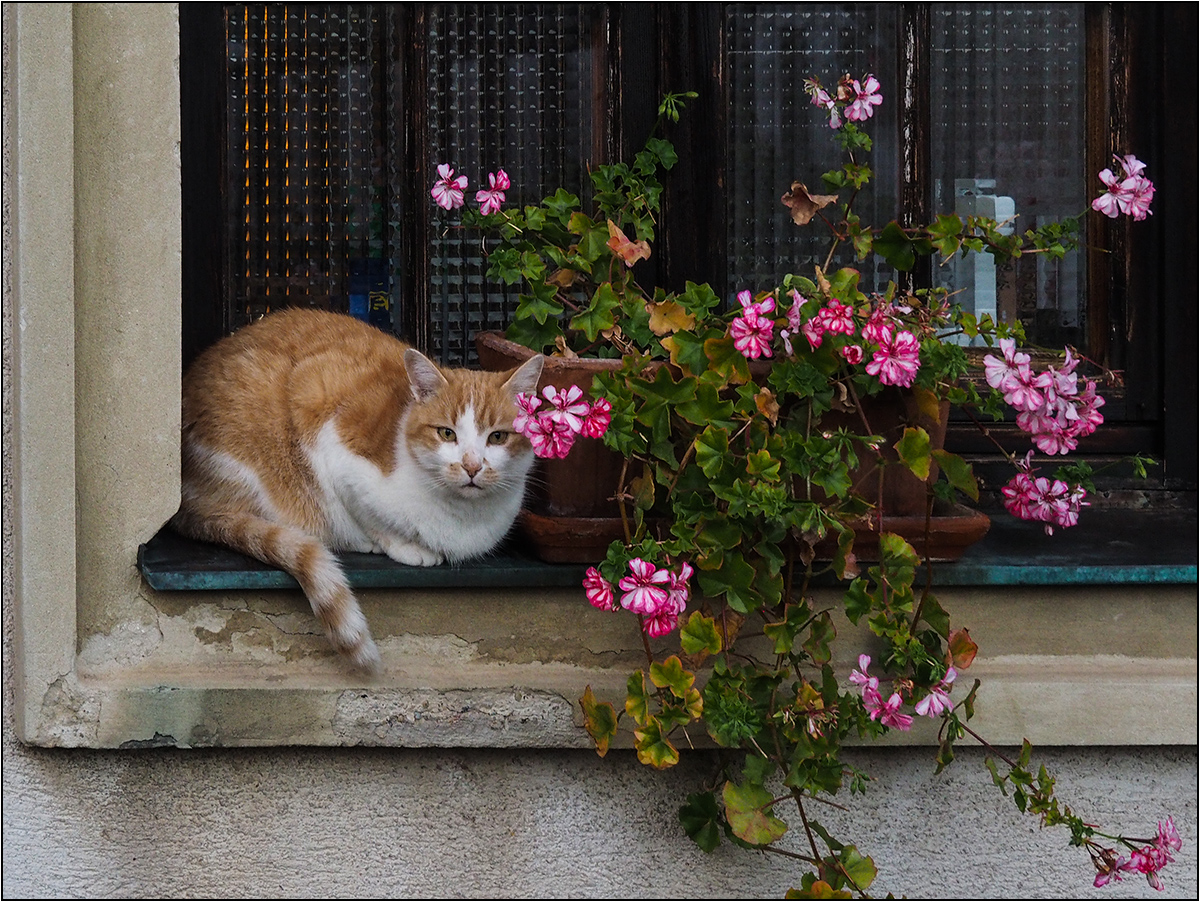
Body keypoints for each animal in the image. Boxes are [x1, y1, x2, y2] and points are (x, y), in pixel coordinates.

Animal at [169, 309, 544, 671]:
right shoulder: (329, 431)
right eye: (447, 433)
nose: (471, 465)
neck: (462, 517)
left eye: (498, 437)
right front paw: (401, 545)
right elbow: (369, 517)